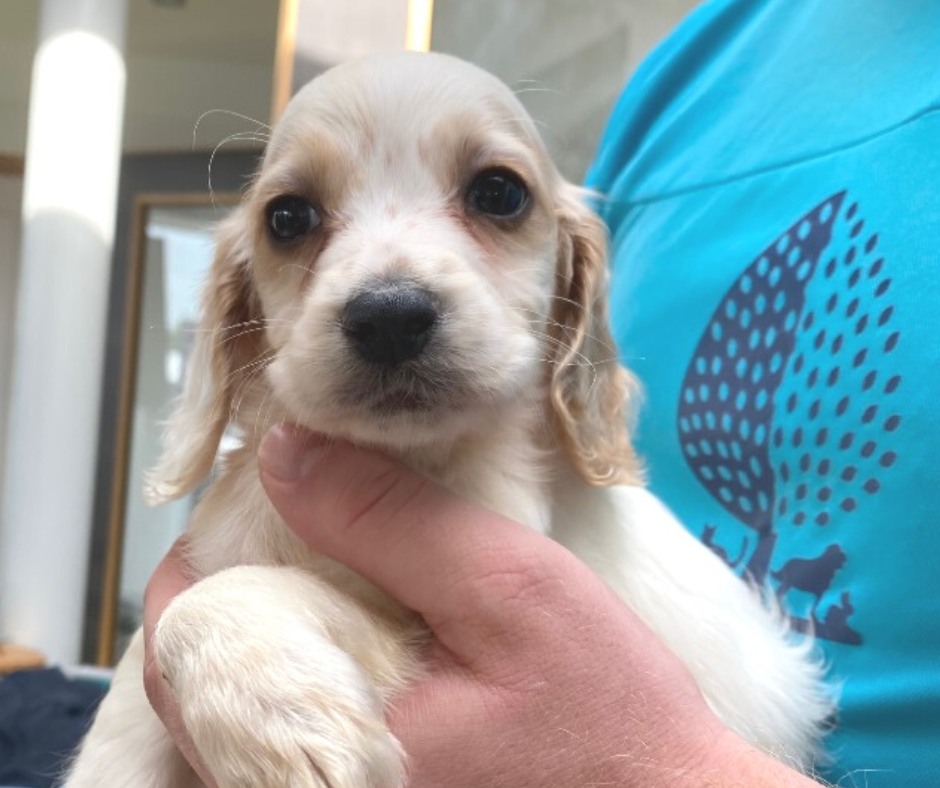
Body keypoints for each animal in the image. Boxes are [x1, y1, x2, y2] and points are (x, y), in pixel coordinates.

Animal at [68, 53, 828, 788]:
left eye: (499, 194)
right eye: (287, 218)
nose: (389, 316)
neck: (408, 456)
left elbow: (202, 604)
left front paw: (280, 713)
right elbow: (136, 681)